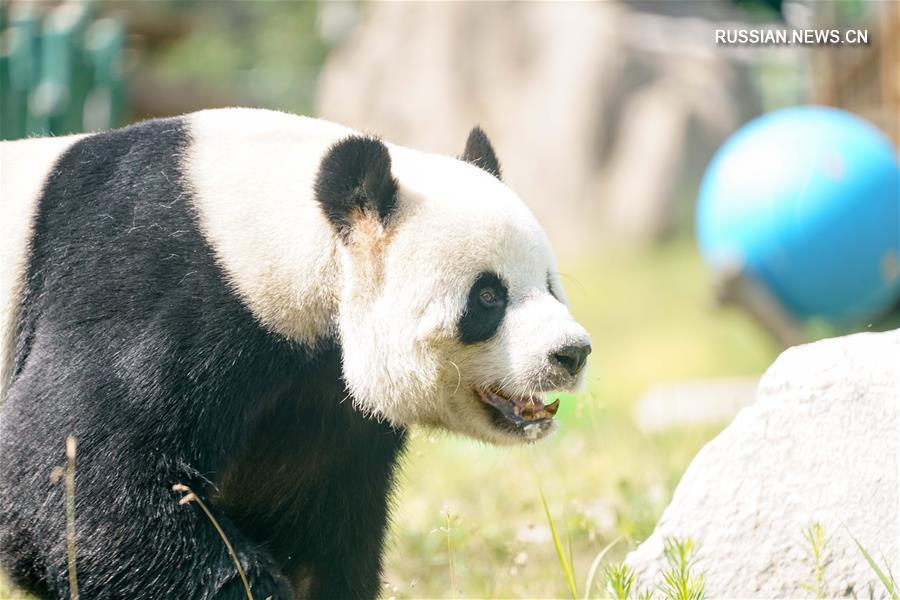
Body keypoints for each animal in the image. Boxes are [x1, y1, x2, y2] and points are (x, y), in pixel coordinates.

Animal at [0, 109, 592, 600]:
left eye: (549, 284)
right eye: (488, 296)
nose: (572, 353)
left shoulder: (323, 406)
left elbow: (317, 527)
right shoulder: (151, 287)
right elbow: (74, 479)